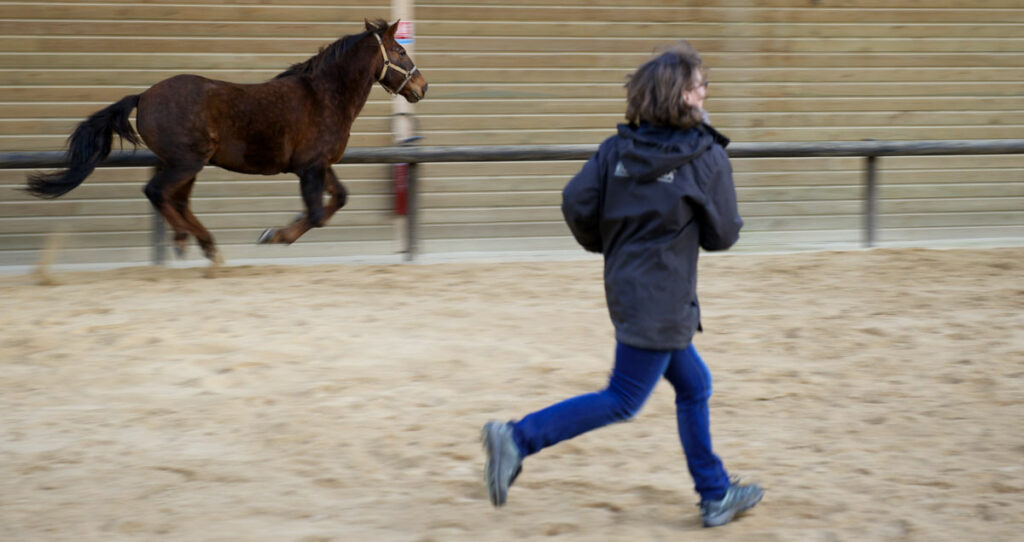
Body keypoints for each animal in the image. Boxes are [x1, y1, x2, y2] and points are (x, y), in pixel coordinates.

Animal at [27, 20, 428, 264]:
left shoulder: (320, 165)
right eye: (401, 52)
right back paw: (198, 242)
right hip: (186, 162)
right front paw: (274, 235)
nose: (422, 87)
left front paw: (275, 232)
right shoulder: (309, 168)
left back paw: (198, 243)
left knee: (175, 201)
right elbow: (315, 214)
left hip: (186, 165)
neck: (323, 95)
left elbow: (339, 199)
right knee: (157, 193)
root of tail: (143, 96)